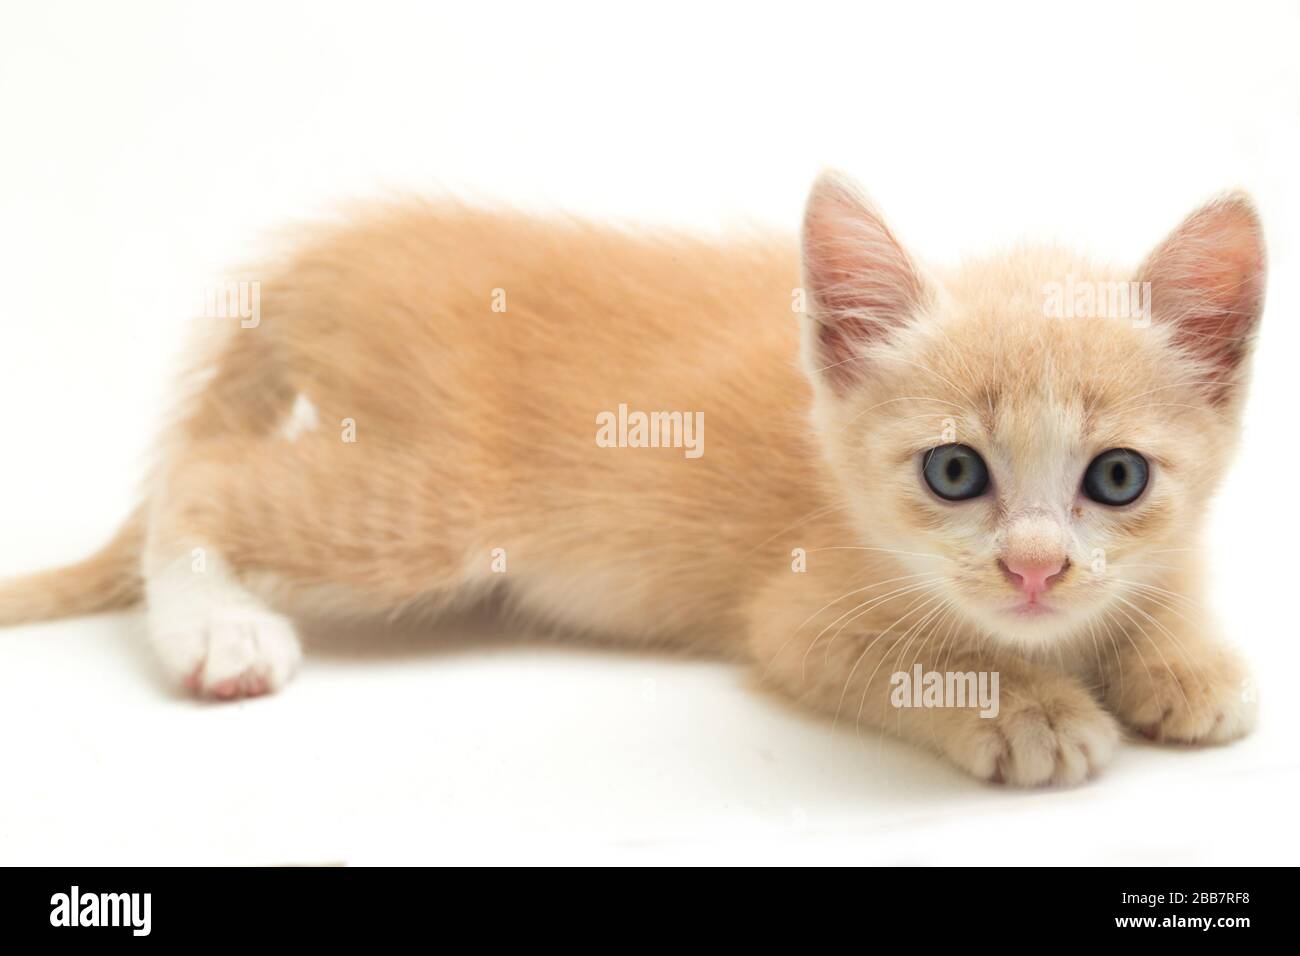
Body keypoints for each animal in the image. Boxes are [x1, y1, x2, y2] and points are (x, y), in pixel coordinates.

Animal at [0, 171, 1258, 785]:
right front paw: (1027, 706)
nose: (1036, 569)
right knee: (201, 473)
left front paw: (1184, 660)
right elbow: (905, 658)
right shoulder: (797, 607)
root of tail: (339, 251)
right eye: (954, 470)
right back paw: (218, 628)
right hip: (434, 496)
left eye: (1116, 476)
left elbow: (1169, 584)